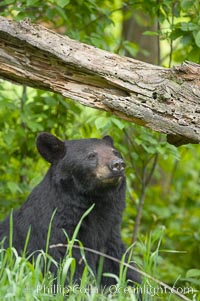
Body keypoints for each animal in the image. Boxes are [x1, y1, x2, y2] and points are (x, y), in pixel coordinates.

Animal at [0, 134, 141, 288]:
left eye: (115, 152)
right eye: (91, 155)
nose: (118, 164)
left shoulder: (110, 235)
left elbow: (121, 266)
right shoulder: (56, 237)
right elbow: (70, 269)